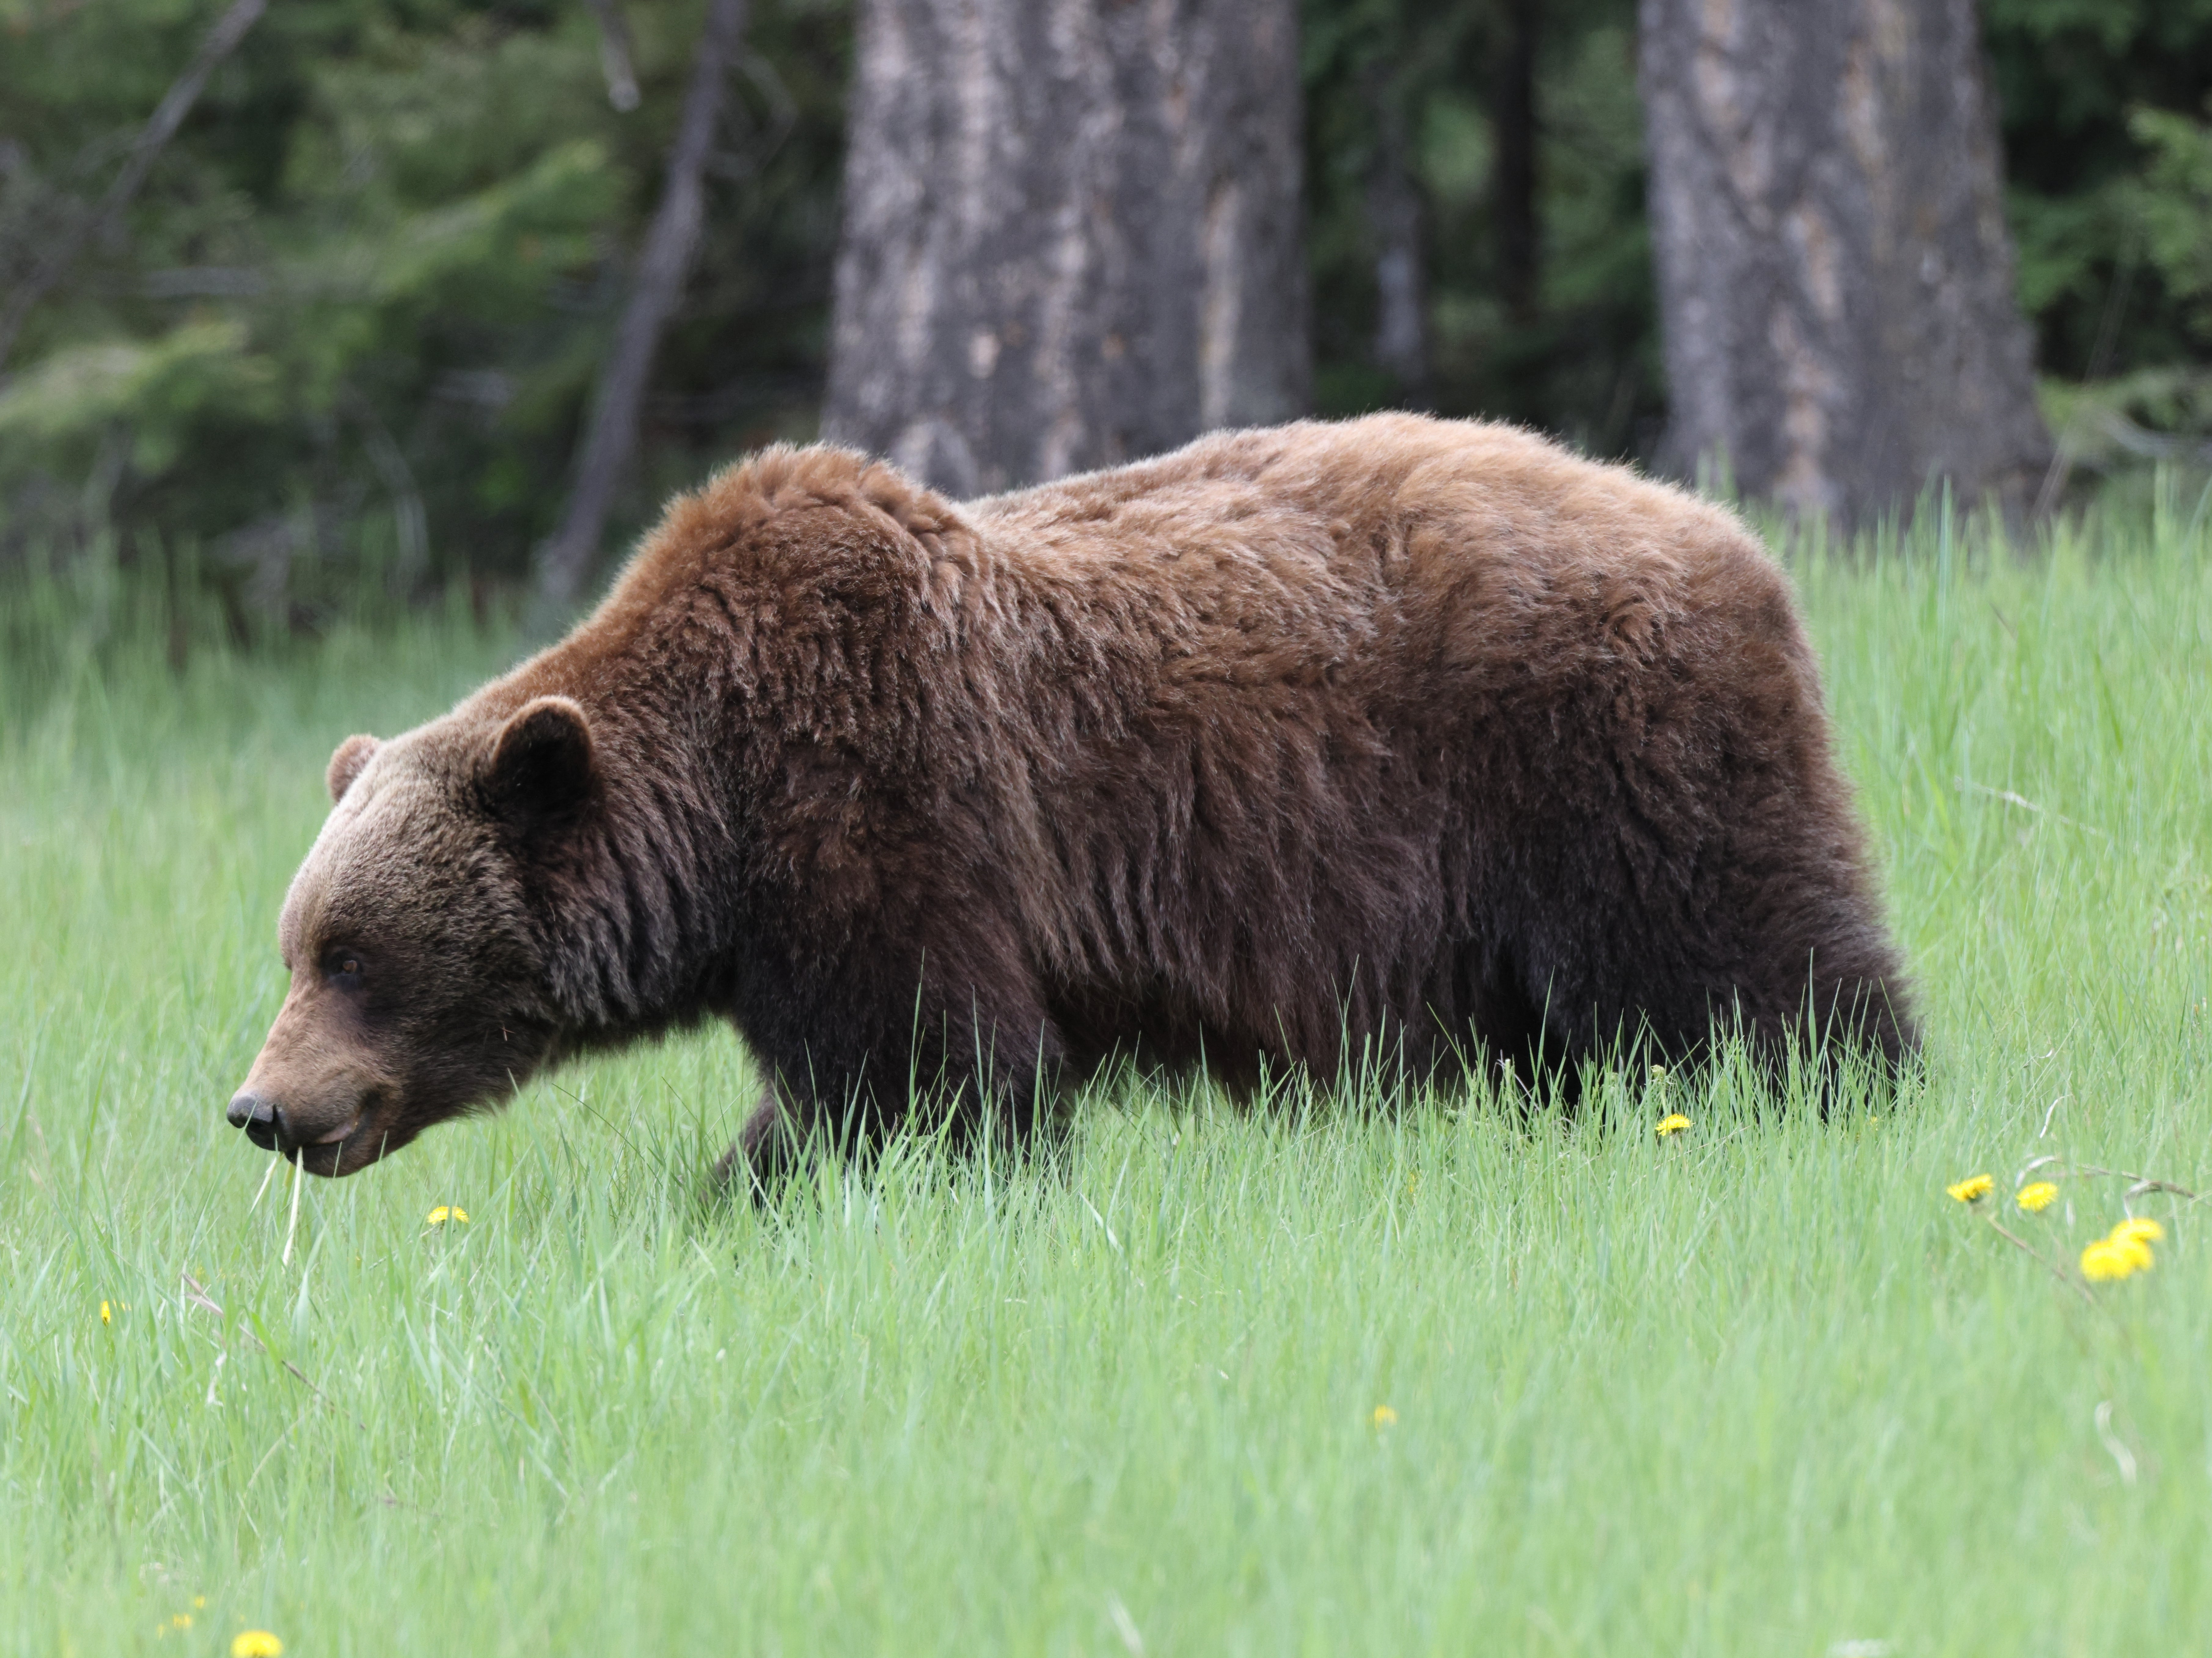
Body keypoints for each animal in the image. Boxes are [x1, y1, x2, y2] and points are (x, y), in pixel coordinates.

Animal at [229, 413, 1920, 1185]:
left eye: (360, 955)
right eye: (299, 942)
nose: (261, 1106)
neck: (715, 824)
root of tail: (1726, 533)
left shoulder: (888, 818)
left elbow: (929, 1079)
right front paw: (730, 1187)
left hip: (1598, 761)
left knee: (1746, 966)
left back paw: (1852, 1092)